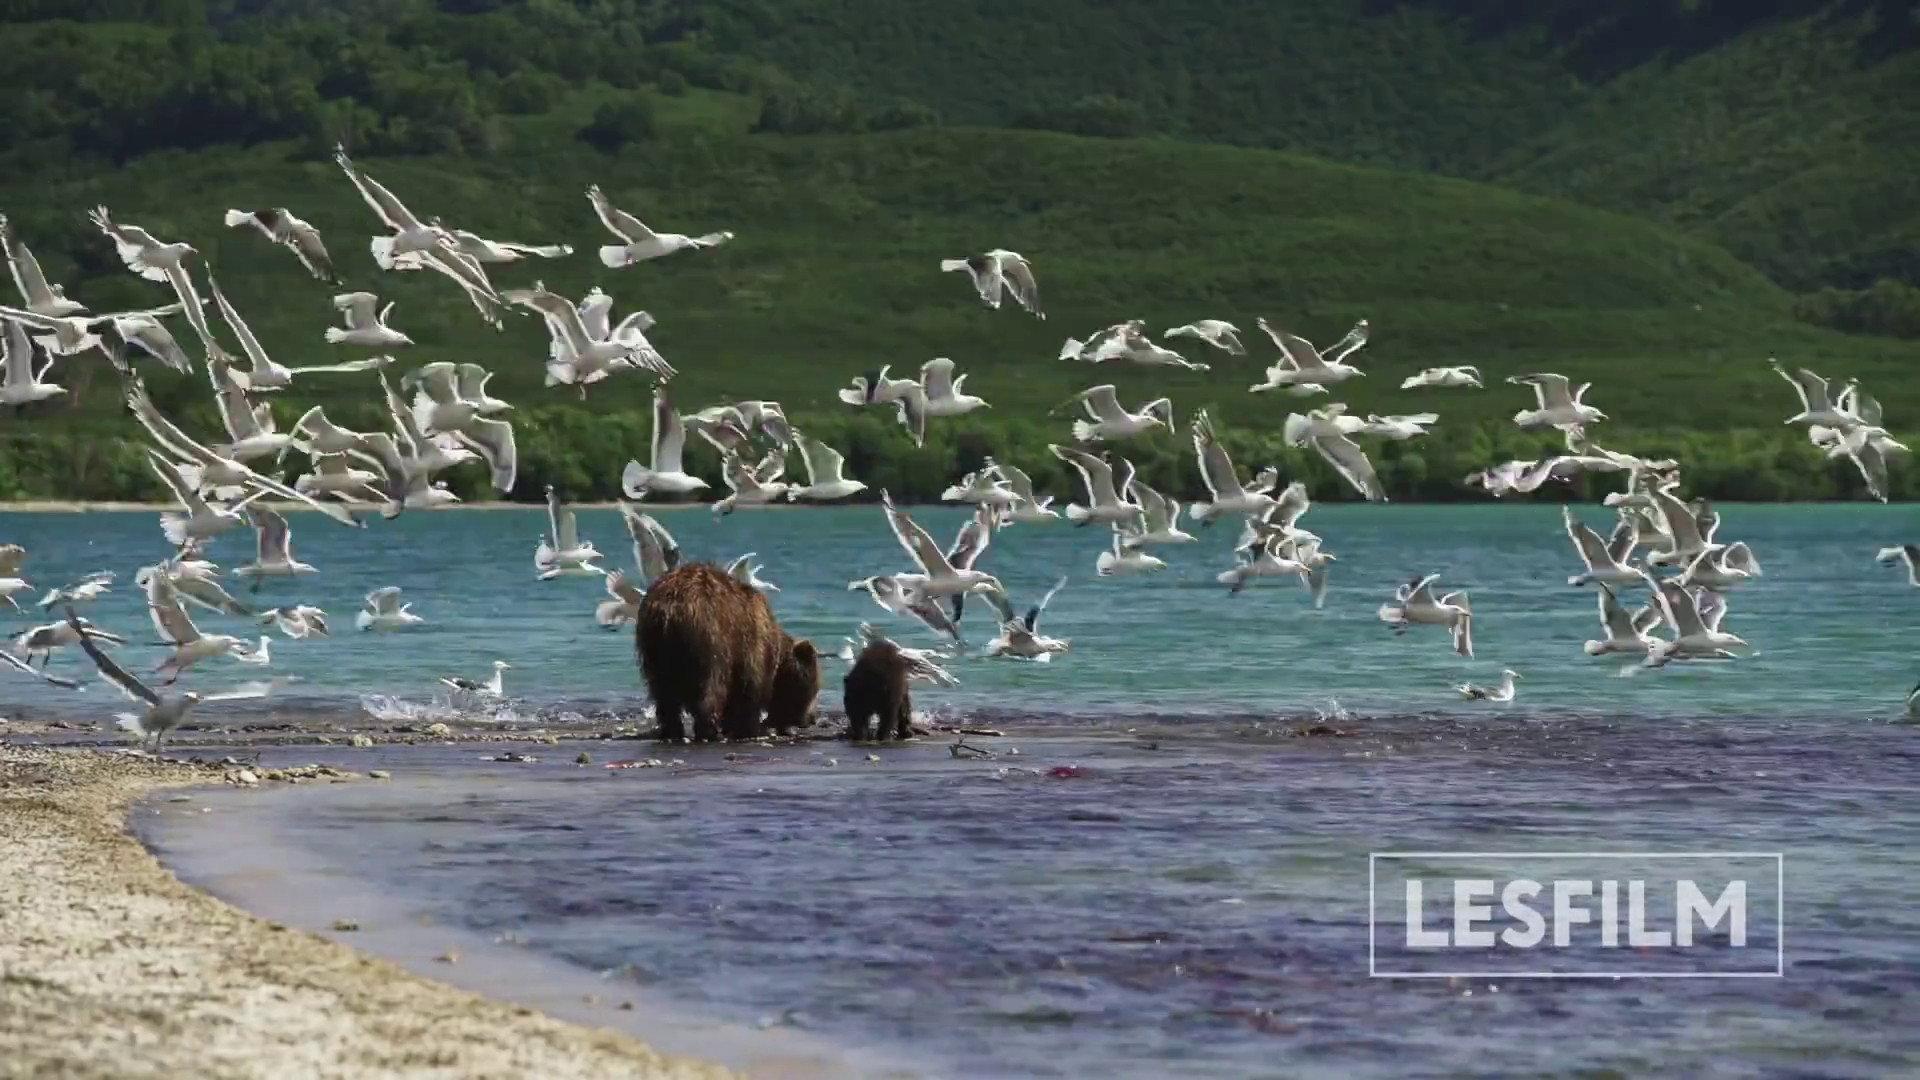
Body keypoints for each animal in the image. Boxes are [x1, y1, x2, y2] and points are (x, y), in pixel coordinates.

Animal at [636, 563, 818, 741]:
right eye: (813, 689)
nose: (811, 719)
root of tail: (670, 609)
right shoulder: (751, 645)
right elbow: (749, 690)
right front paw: (751, 729)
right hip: (711, 636)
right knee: (712, 685)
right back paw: (710, 732)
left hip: (655, 646)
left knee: (663, 693)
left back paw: (672, 731)